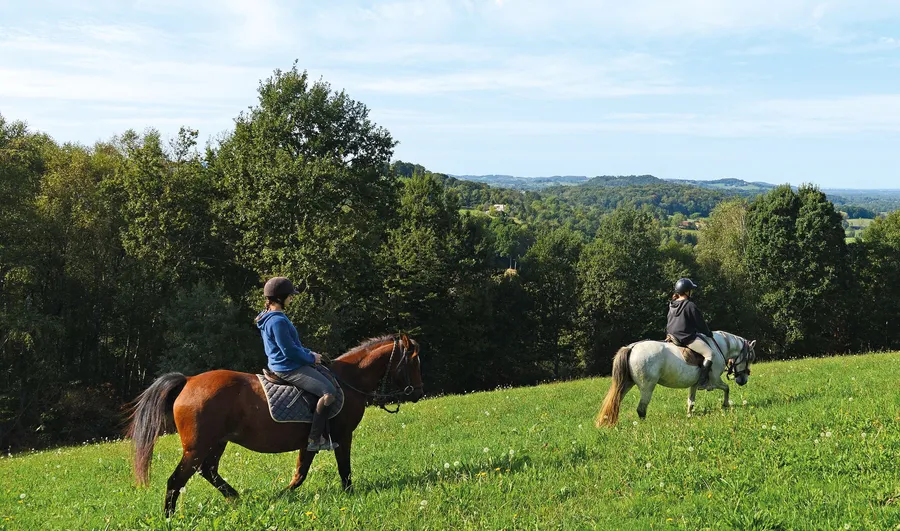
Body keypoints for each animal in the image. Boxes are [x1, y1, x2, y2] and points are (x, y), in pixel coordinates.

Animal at [126, 336, 426, 516]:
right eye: (413, 361)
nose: (419, 392)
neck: (349, 380)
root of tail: (188, 381)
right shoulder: (342, 435)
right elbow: (344, 469)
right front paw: (349, 495)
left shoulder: (311, 441)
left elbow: (300, 473)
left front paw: (281, 497)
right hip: (197, 447)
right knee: (176, 480)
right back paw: (170, 517)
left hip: (216, 443)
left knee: (208, 471)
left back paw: (236, 497)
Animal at [596, 332, 752, 428]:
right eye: (749, 357)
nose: (743, 381)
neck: (719, 346)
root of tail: (632, 347)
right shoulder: (715, 381)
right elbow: (727, 388)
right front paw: (725, 404)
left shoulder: (694, 384)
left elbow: (691, 401)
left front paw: (689, 416)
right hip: (647, 387)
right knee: (641, 409)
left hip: (627, 384)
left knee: (616, 400)